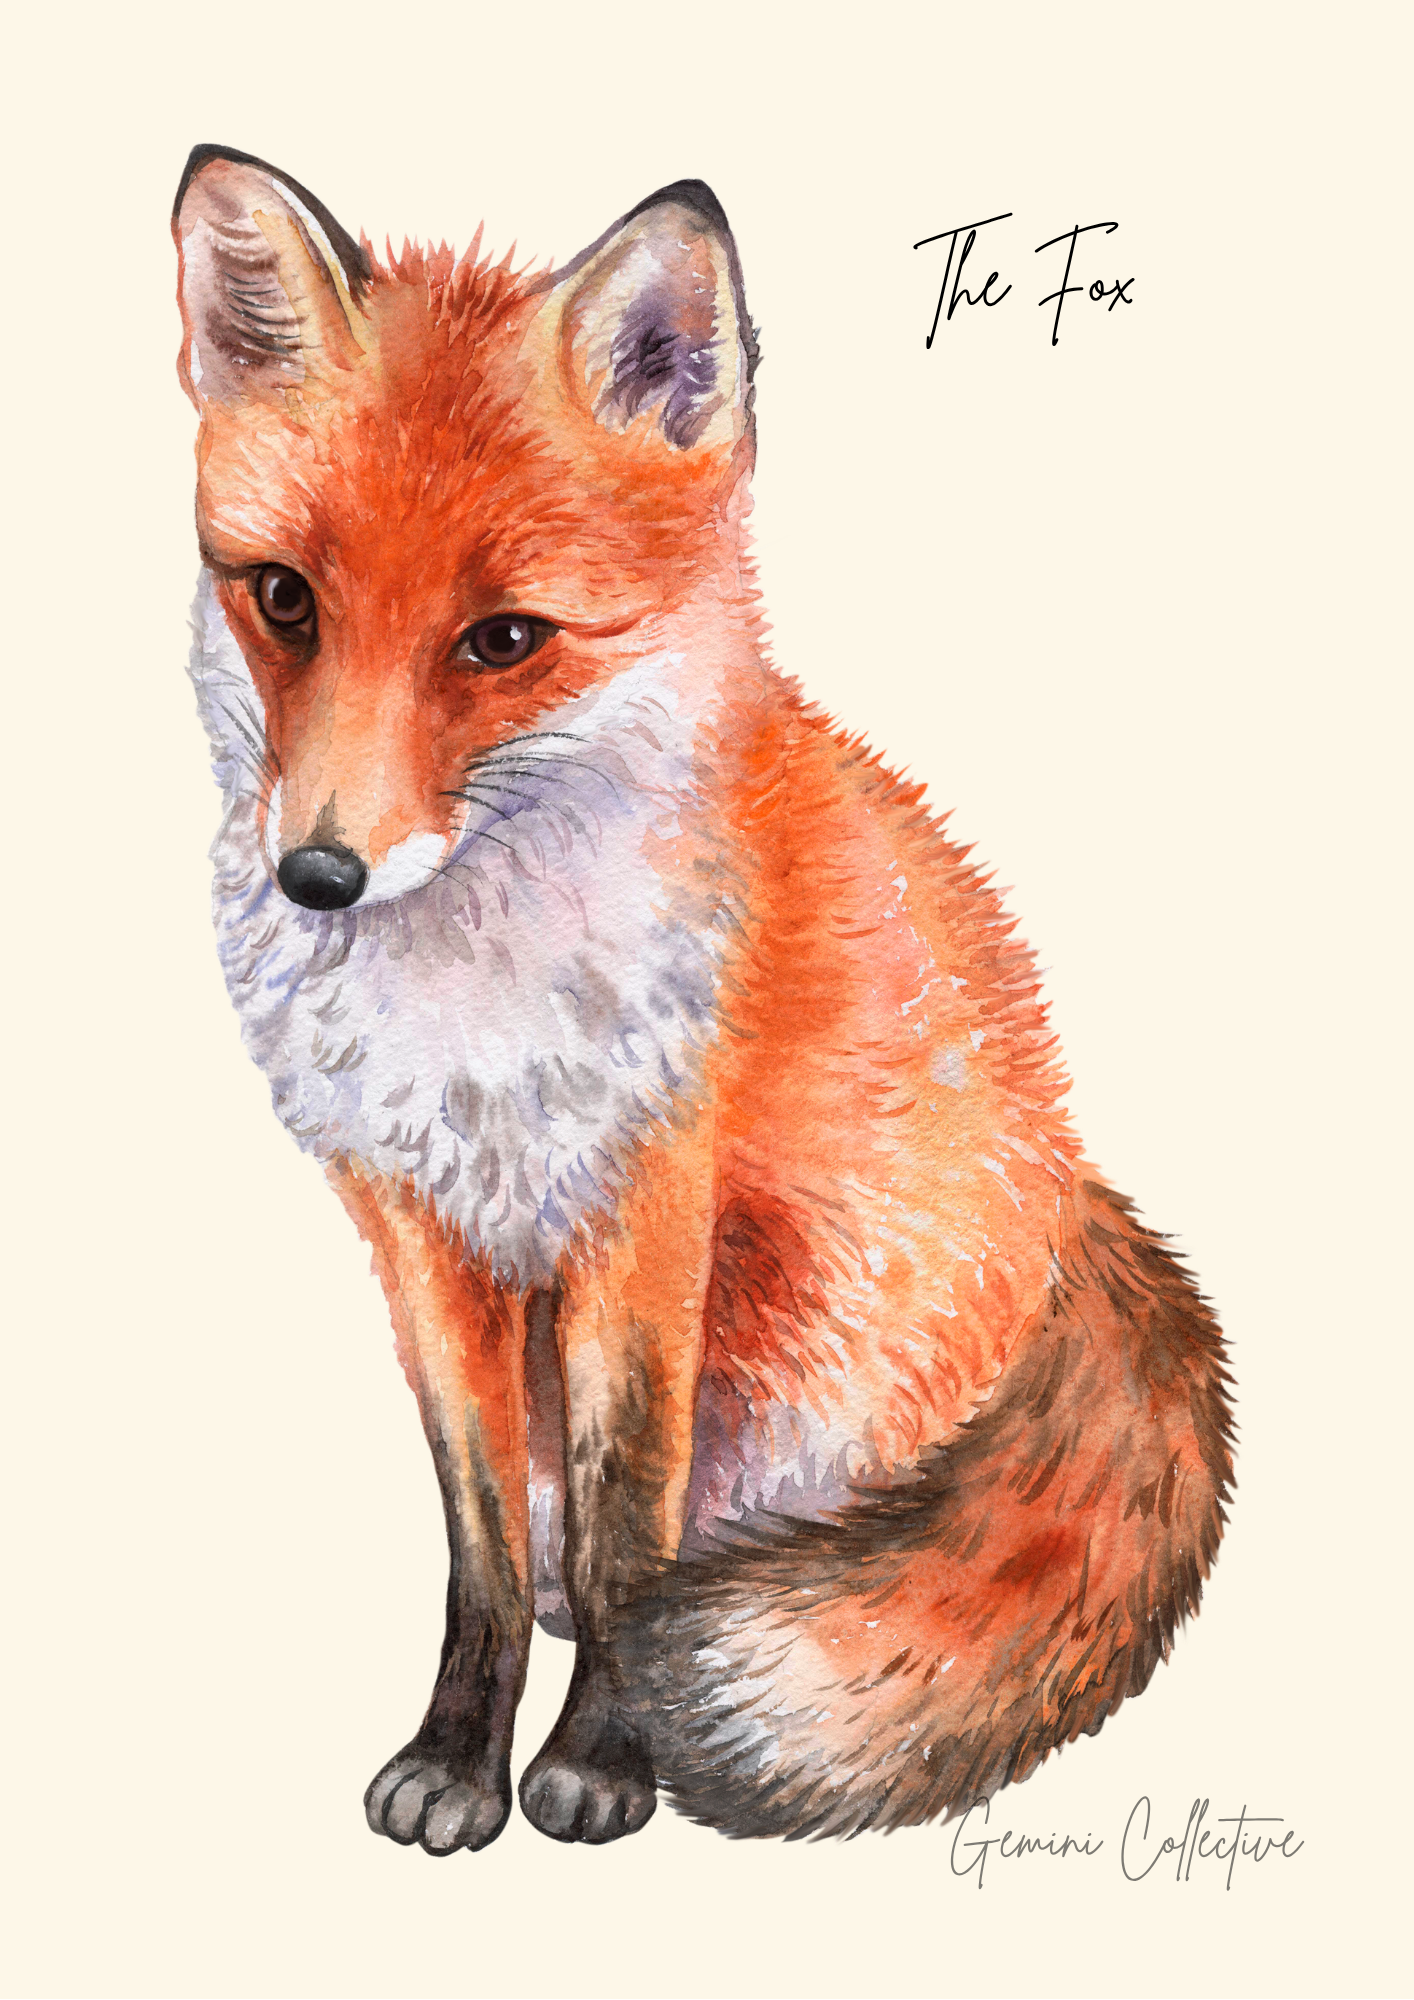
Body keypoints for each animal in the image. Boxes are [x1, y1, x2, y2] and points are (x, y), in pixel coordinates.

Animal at [172, 145, 1234, 1851]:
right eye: (283, 601)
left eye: (503, 640)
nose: (319, 876)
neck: (475, 1021)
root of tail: (1080, 1209)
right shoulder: (419, 1233)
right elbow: (482, 1545)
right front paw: (459, 1755)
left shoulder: (651, 1207)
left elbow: (631, 1534)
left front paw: (605, 1757)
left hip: (814, 1347)